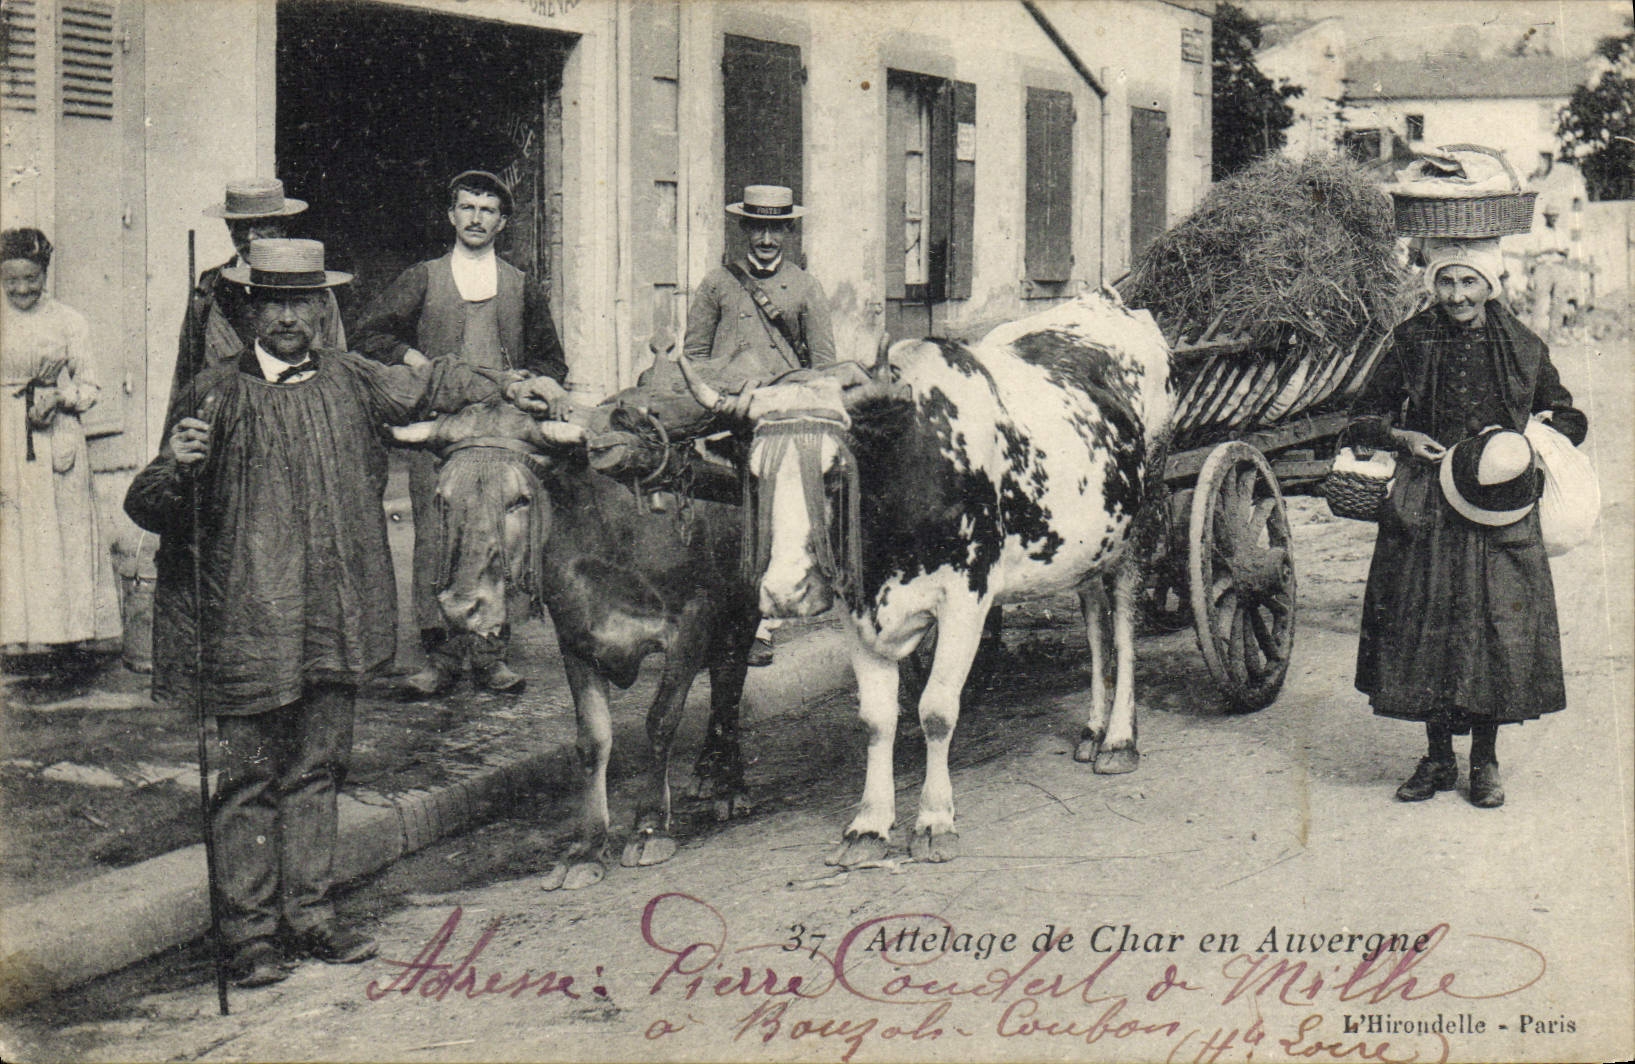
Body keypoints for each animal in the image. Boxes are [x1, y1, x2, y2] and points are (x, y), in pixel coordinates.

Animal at [391, 399, 758, 889]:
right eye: (443, 500)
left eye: (520, 500)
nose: (461, 607)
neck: (608, 538)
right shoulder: (576, 637)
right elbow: (591, 741)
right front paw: (586, 847)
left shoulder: (692, 622)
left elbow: (661, 721)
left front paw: (649, 826)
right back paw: (706, 774)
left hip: (743, 606)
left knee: (729, 687)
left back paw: (729, 786)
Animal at [678, 291, 1173, 867]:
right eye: (754, 476)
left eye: (834, 474)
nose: (785, 592)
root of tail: (1105, 301)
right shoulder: (857, 609)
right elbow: (876, 718)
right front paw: (868, 825)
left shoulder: (966, 598)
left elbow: (936, 709)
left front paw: (935, 820)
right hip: (1089, 542)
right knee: (1095, 621)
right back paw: (1092, 730)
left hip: (1138, 524)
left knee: (1124, 627)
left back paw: (1118, 740)